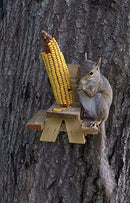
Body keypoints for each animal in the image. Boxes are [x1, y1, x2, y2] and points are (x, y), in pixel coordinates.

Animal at [77, 53, 115, 197]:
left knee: (99, 117)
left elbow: (90, 93)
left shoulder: (96, 87)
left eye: (91, 73)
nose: (78, 81)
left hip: (101, 102)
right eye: (79, 67)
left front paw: (82, 87)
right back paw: (85, 114)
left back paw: (96, 121)